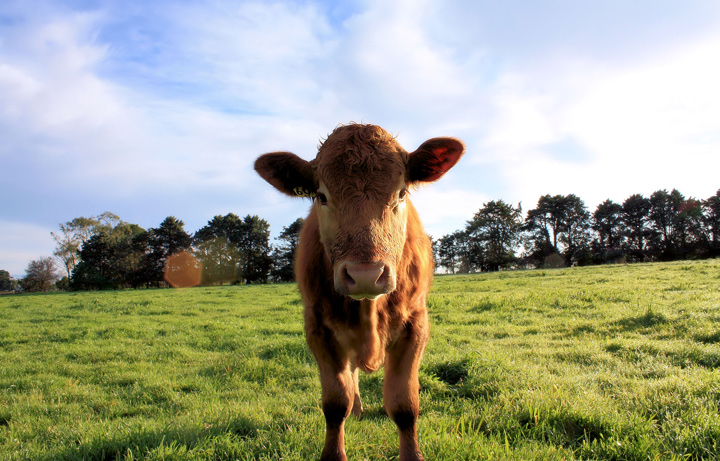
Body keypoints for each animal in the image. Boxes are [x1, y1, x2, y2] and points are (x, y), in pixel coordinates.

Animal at [256, 124, 464, 458]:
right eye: (321, 196)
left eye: (401, 193)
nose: (366, 275)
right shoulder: (318, 329)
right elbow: (335, 403)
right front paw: (334, 451)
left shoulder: (416, 325)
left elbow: (405, 405)